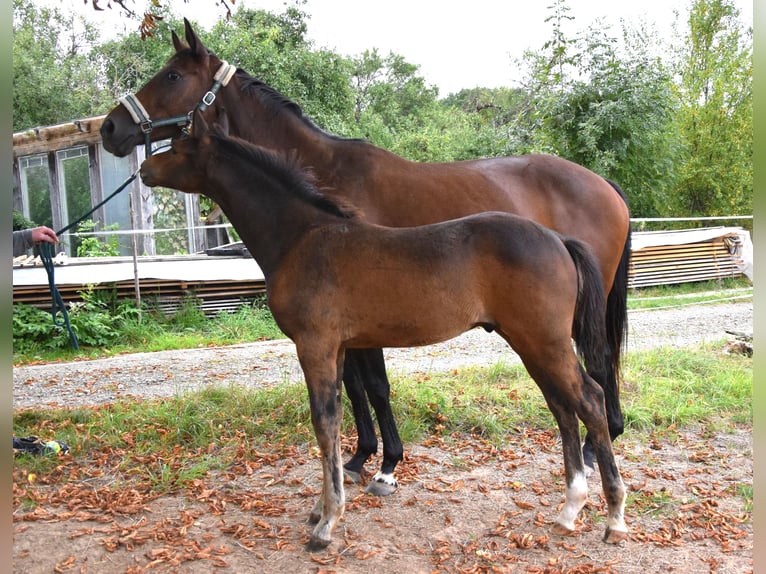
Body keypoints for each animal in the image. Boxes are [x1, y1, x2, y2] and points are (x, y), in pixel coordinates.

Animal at [100, 18, 631, 494]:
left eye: (172, 76)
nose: (109, 129)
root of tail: (604, 185)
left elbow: (374, 386)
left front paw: (387, 464)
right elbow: (356, 388)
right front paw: (361, 456)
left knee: (597, 366)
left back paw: (595, 448)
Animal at [139, 109, 628, 550]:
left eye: (178, 146)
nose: (144, 169)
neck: (302, 238)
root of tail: (557, 239)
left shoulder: (314, 346)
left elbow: (325, 421)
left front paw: (326, 524)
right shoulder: (337, 349)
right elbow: (341, 414)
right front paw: (323, 506)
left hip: (544, 342)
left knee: (590, 399)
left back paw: (614, 518)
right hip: (532, 343)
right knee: (563, 407)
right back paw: (569, 510)